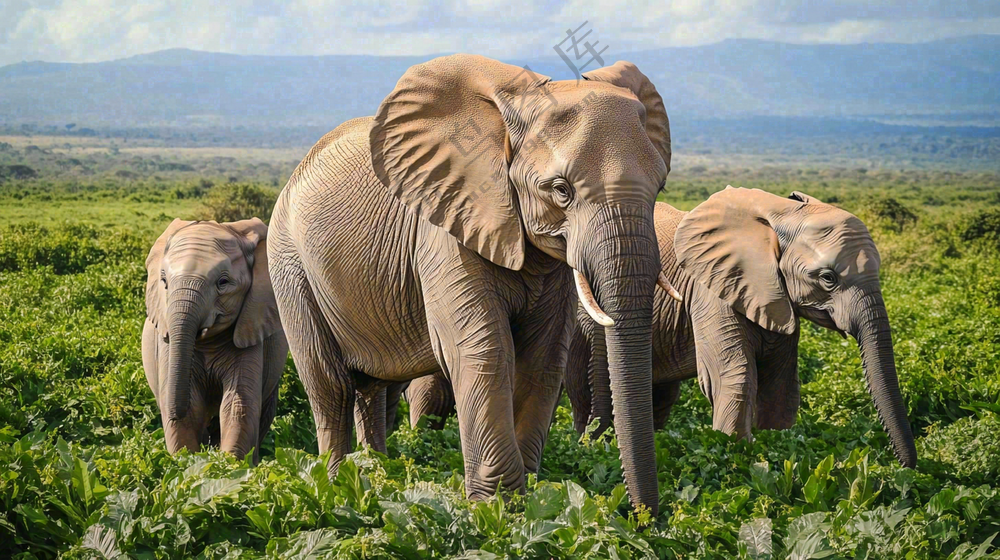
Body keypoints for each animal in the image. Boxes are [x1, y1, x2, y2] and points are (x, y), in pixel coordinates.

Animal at [142, 218, 287, 463]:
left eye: (223, 282)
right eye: (164, 281)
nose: (173, 412)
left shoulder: (250, 326)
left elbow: (237, 406)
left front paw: (229, 467)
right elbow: (192, 407)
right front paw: (188, 462)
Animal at [267, 54, 674, 512]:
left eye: (660, 185)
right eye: (561, 190)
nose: (644, 516)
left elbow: (543, 357)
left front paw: (527, 503)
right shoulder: (446, 225)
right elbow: (483, 350)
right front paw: (497, 507)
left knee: (372, 386)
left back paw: (375, 476)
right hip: (289, 264)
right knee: (330, 384)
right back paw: (338, 489)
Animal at [564, 189, 917, 468]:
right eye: (828, 278)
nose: (909, 468)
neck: (780, 214)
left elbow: (780, 382)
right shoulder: (712, 290)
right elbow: (734, 374)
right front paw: (735, 453)